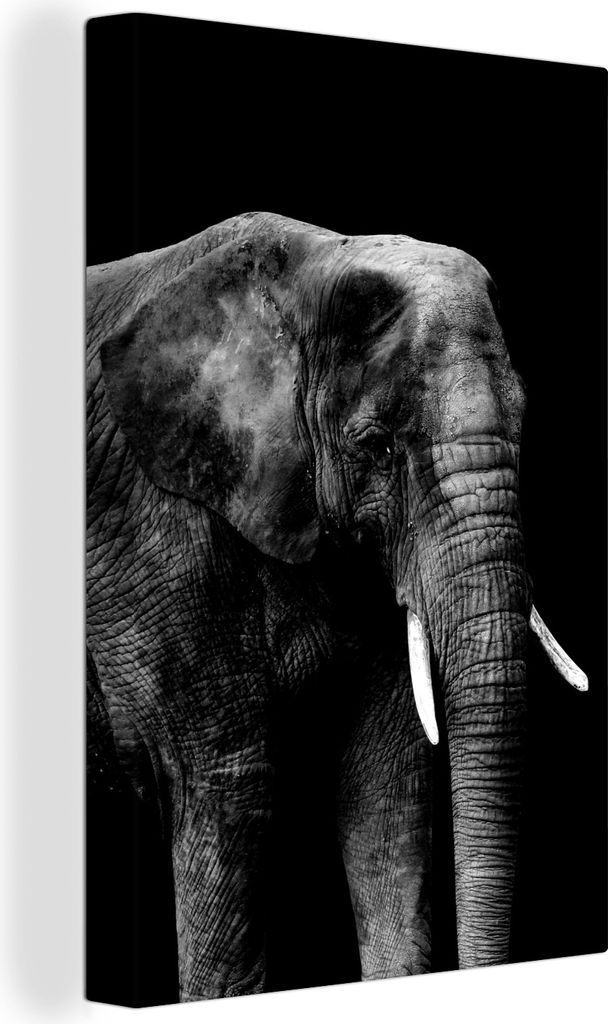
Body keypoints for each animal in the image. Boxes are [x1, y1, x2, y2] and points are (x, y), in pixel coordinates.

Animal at [86, 211, 587, 1003]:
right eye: (376, 447)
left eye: (526, 425)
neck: (306, 273)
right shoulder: (152, 530)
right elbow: (224, 786)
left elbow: (387, 791)